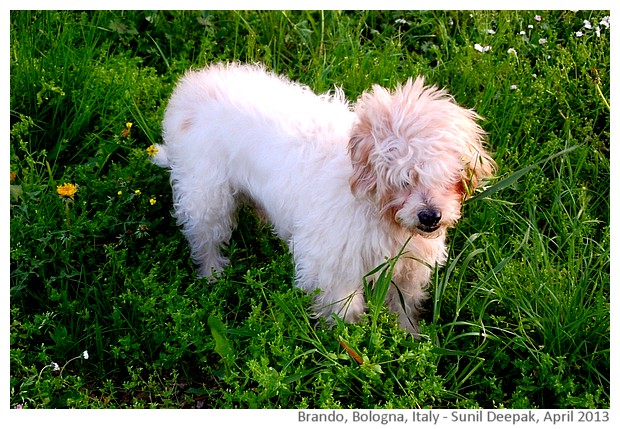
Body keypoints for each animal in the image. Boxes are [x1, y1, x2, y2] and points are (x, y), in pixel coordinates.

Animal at [151, 62, 494, 332]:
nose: (430, 216)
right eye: (403, 179)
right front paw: (349, 346)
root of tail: (189, 89)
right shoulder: (332, 265)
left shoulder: (407, 266)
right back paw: (213, 275)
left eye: (450, 177)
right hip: (207, 196)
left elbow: (404, 306)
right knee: (206, 239)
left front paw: (408, 335)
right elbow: (345, 311)